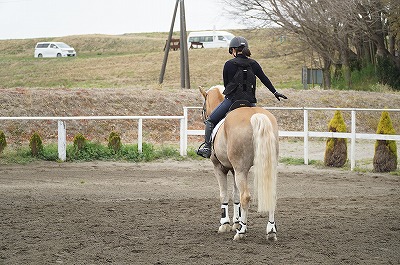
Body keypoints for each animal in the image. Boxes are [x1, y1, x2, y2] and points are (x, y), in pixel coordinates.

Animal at [199, 85, 280, 241]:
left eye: (204, 108)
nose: (204, 118)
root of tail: (256, 115)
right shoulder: (234, 169)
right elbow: (235, 195)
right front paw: (236, 222)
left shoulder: (220, 168)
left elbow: (224, 194)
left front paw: (225, 224)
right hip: (266, 167)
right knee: (271, 195)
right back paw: (271, 230)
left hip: (241, 169)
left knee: (245, 197)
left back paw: (241, 232)